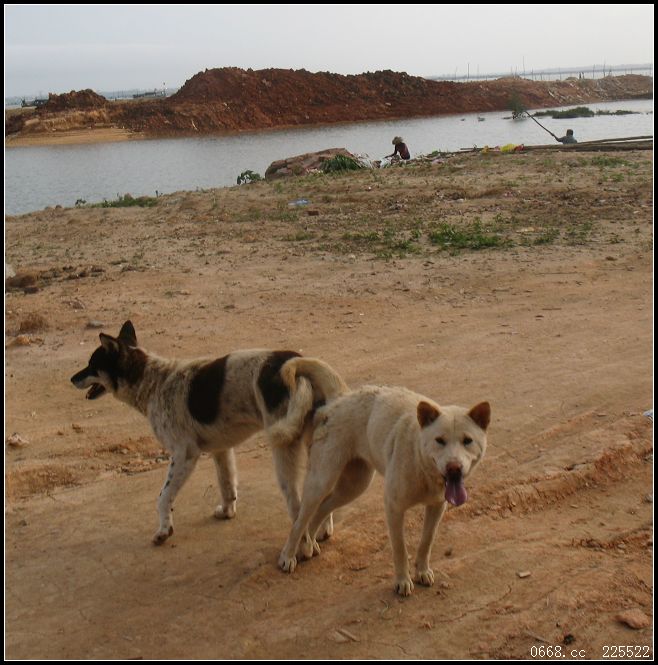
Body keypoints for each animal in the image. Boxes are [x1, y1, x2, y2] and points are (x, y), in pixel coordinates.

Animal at [71, 320, 347, 546]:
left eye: (92, 365)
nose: (71, 379)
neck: (152, 381)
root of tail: (297, 364)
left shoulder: (184, 455)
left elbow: (163, 497)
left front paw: (164, 530)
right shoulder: (221, 449)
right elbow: (227, 485)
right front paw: (227, 512)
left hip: (283, 450)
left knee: (296, 503)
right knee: (319, 497)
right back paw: (322, 531)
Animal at [278, 385, 490, 596]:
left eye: (467, 440)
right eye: (439, 440)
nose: (454, 468)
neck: (420, 460)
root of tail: (332, 404)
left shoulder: (437, 506)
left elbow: (426, 541)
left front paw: (422, 571)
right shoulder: (393, 507)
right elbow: (400, 548)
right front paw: (402, 581)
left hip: (354, 486)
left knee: (322, 509)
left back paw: (309, 545)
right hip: (321, 480)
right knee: (300, 521)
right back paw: (288, 556)